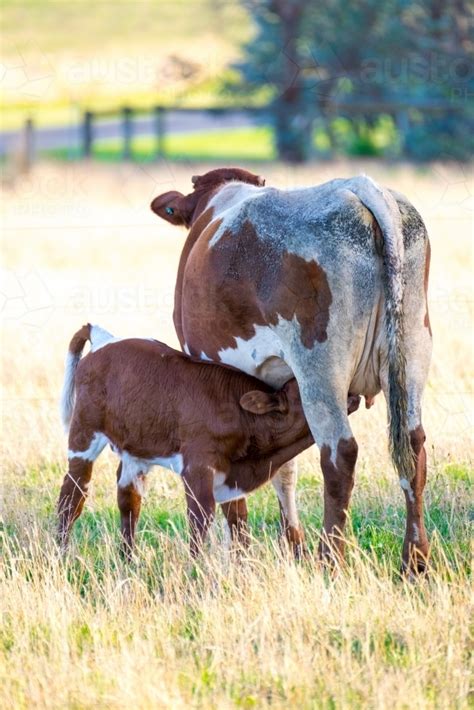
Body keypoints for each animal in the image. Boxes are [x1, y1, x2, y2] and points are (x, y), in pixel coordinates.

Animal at [152, 170, 434, 576]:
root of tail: (358, 186)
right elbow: (283, 465)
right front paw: (292, 545)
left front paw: (243, 556)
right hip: (412, 352)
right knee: (413, 450)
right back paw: (415, 560)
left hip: (320, 372)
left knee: (339, 456)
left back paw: (330, 559)